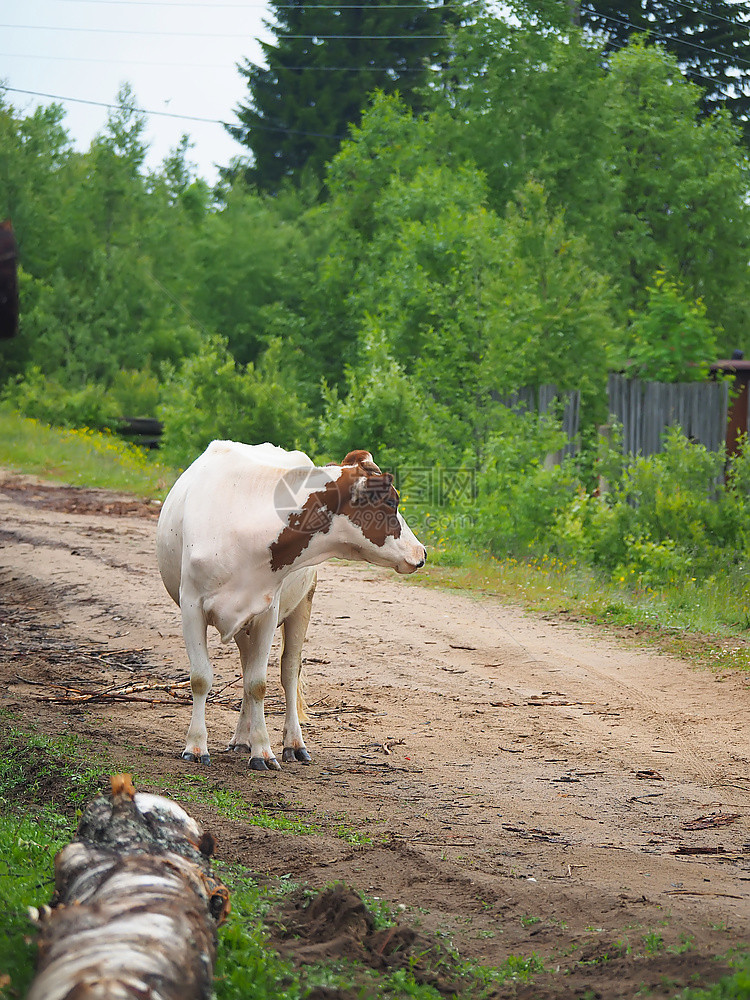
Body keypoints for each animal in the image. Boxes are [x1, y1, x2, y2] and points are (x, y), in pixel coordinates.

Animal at [156, 440, 426, 772]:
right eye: (390, 502)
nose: (421, 553)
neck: (246, 524)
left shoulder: (267, 611)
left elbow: (258, 683)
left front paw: (263, 751)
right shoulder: (191, 606)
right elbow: (200, 678)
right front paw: (195, 745)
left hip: (302, 603)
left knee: (288, 672)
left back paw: (293, 743)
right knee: (247, 666)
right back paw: (241, 739)